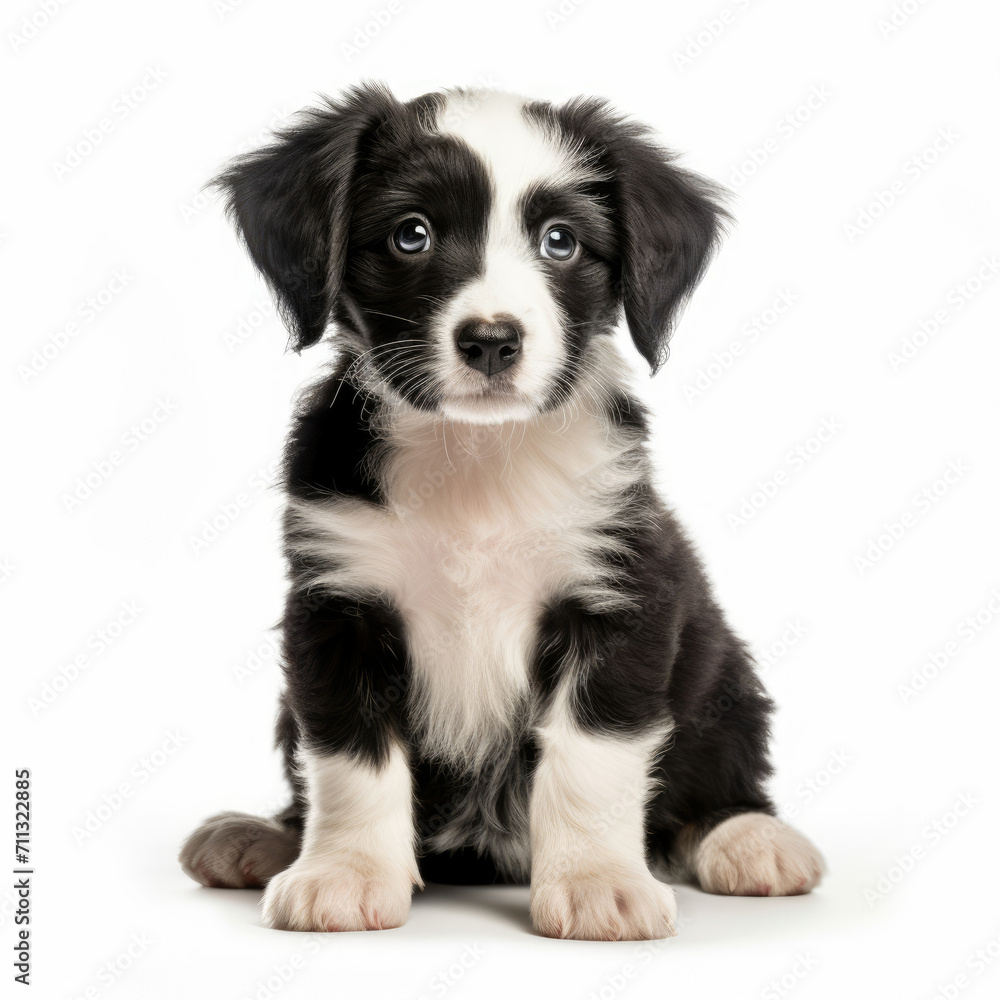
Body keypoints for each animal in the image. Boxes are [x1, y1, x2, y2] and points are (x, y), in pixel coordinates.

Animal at [180, 84, 820, 936]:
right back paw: (262, 836)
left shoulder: (620, 595)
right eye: (411, 234)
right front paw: (345, 872)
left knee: (717, 777)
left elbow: (591, 752)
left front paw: (596, 880)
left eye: (561, 242)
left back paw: (749, 837)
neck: (477, 460)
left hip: (723, 673)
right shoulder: (337, 603)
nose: (490, 341)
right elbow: (350, 757)